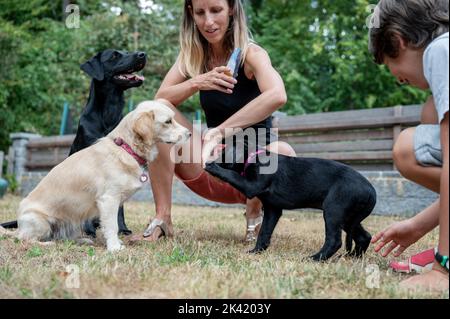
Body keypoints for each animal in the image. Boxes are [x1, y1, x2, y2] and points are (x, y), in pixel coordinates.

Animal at [0, 100, 190, 252]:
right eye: (168, 121)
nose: (189, 133)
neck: (126, 148)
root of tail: (20, 225)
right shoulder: (109, 200)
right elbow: (112, 226)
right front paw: (114, 247)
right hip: (40, 221)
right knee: (25, 239)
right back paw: (45, 243)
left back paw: (83, 240)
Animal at [206, 149, 378, 262]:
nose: (209, 159)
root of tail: (371, 191)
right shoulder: (272, 209)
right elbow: (264, 232)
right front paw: (256, 251)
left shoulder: (251, 186)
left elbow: (232, 175)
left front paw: (212, 167)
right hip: (348, 218)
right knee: (364, 236)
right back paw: (352, 258)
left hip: (334, 211)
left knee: (335, 240)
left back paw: (315, 258)